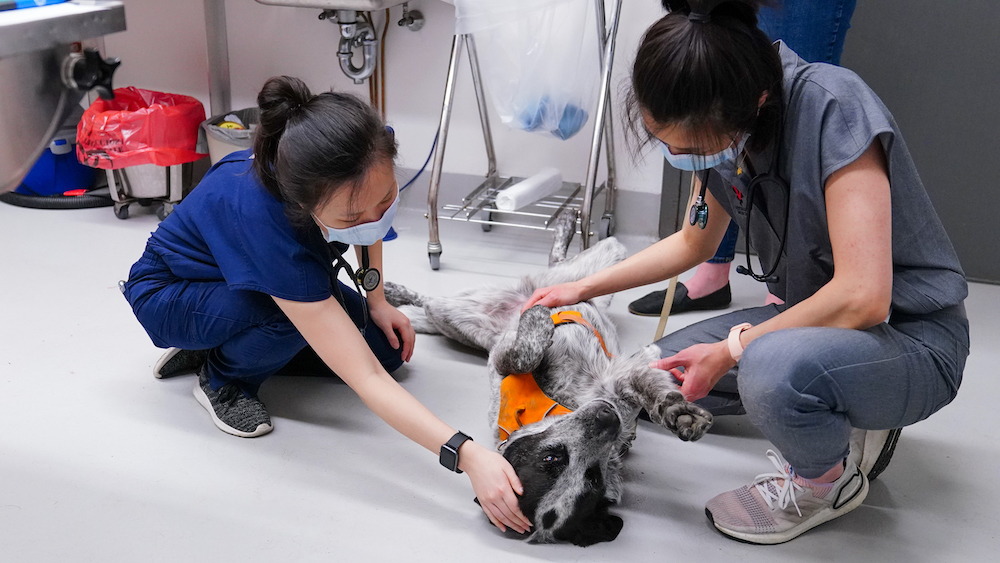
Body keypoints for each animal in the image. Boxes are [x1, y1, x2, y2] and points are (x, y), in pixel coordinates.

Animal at [386, 238, 716, 548]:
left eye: (592, 476)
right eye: (553, 459)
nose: (608, 416)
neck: (560, 403)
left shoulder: (619, 381)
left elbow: (653, 389)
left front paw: (680, 413)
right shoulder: (503, 359)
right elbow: (524, 356)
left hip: (598, 263)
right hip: (456, 317)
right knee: (428, 303)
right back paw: (394, 298)